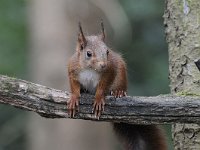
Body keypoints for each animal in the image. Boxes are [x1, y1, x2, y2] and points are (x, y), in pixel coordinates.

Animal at [67, 21, 167, 149]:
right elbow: (74, 85)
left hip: (121, 73)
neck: (90, 69)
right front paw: (74, 97)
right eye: (88, 53)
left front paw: (98, 98)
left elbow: (103, 86)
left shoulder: (110, 70)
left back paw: (118, 91)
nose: (103, 65)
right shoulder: (72, 68)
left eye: (107, 52)